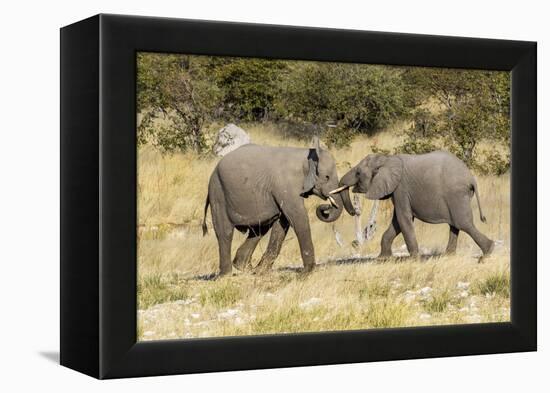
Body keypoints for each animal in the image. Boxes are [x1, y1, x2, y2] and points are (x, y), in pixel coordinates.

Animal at [203, 138, 350, 276]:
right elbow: (297, 218)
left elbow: (282, 223)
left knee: (258, 230)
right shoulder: (286, 184)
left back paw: (246, 268)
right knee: (225, 232)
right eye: (327, 177)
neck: (307, 155)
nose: (325, 207)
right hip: (218, 192)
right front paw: (308, 271)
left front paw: (262, 271)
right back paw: (226, 274)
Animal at [332, 150, 496, 258]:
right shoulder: (398, 191)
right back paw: (448, 256)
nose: (354, 211)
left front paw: (414, 259)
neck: (387, 159)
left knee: (463, 223)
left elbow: (403, 219)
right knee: (455, 225)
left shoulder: (401, 188)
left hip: (456, 194)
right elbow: (397, 222)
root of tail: (471, 178)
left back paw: (487, 253)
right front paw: (383, 259)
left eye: (358, 173)